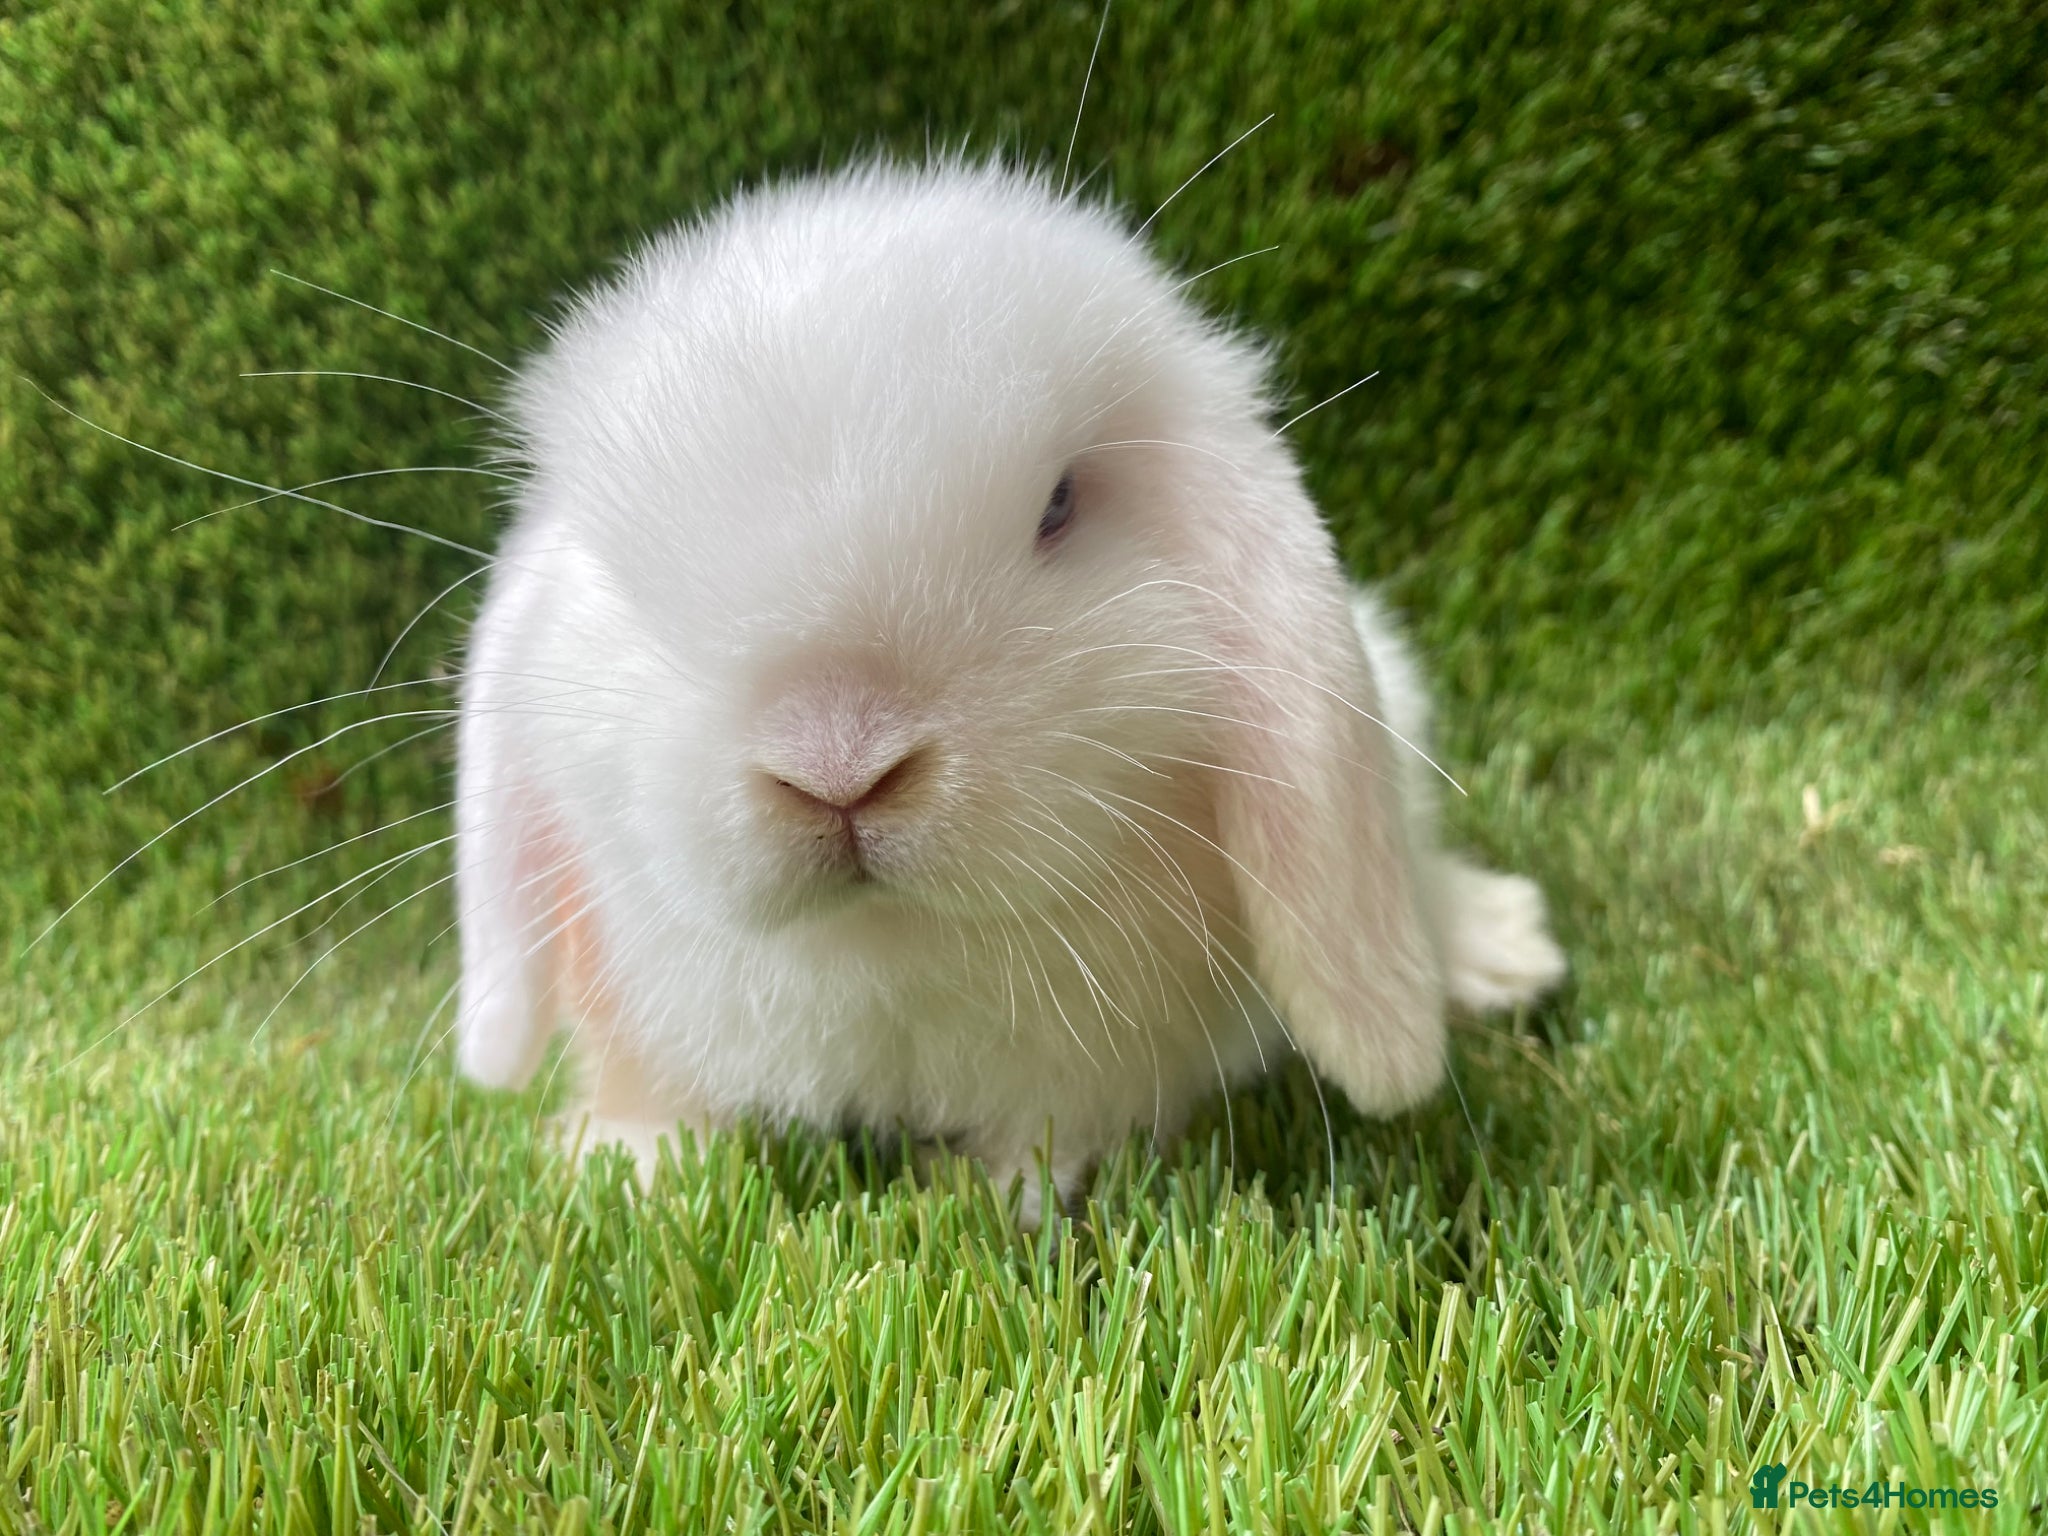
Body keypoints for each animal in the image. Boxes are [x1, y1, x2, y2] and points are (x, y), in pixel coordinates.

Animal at [452, 160, 1566, 1214]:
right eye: (622, 575)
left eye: (1059, 506)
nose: (837, 768)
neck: (886, 955)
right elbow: (653, 1099)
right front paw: (621, 1172)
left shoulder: (1102, 1066)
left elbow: (1052, 1129)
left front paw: (1006, 1198)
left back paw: (1502, 954)